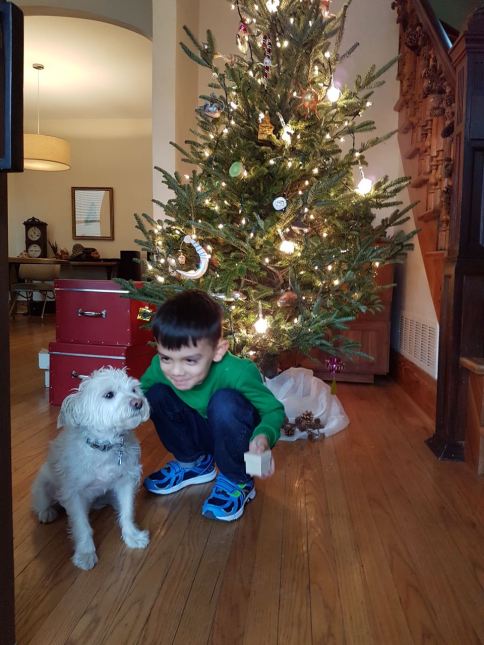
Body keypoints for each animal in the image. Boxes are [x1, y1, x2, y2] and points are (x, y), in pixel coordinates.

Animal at [32, 367, 150, 570]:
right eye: (109, 394)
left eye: (134, 390)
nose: (138, 402)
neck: (105, 446)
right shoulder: (74, 494)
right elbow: (81, 526)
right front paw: (85, 554)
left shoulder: (126, 481)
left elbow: (127, 512)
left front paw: (132, 536)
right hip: (43, 484)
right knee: (43, 502)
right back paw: (47, 512)